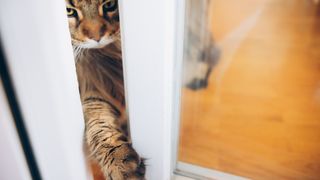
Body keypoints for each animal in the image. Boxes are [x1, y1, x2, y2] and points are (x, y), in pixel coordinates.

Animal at [64, 0, 146, 179]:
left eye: (109, 5)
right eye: (69, 11)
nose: (96, 37)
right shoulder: (92, 95)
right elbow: (99, 129)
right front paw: (120, 163)